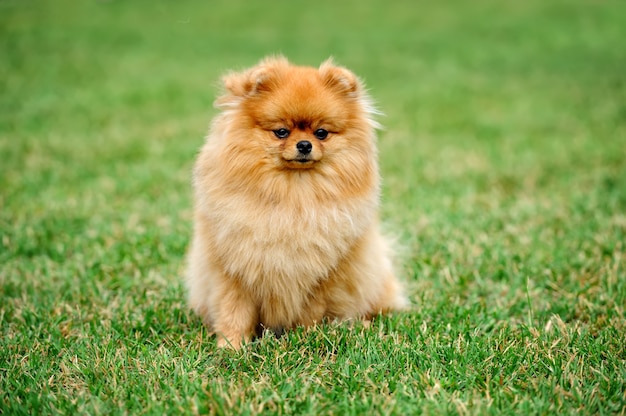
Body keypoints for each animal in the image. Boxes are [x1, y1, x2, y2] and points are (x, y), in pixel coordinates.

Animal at [186, 55, 404, 348]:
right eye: (281, 132)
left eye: (321, 133)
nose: (304, 145)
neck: (293, 195)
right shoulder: (232, 269)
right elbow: (234, 311)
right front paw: (231, 346)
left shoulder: (320, 273)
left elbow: (310, 311)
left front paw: (306, 337)